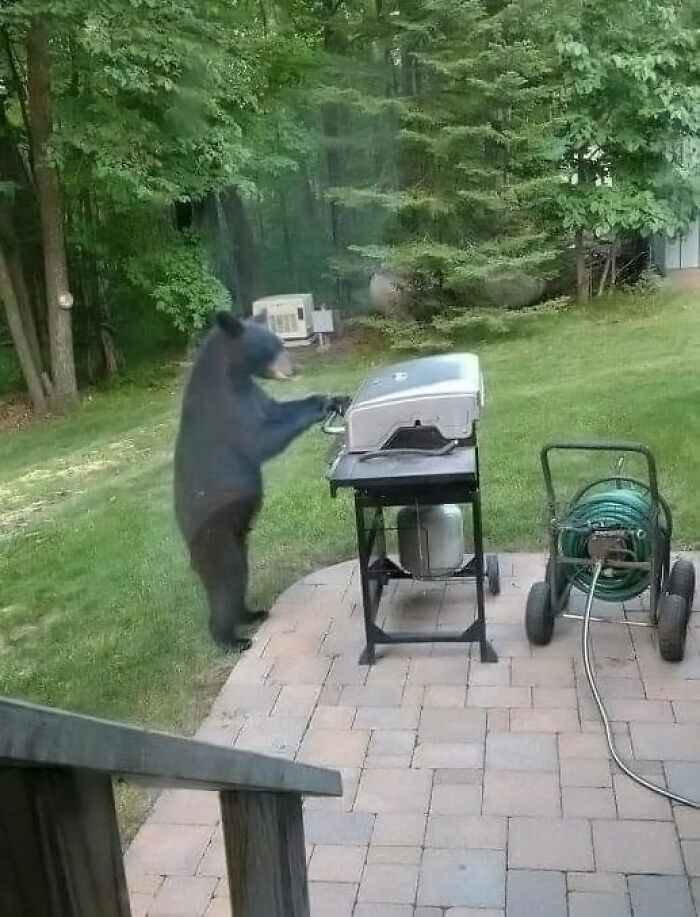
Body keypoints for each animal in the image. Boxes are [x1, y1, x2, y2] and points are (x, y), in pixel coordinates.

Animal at [174, 310, 334, 650]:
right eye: (274, 346)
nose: (296, 367)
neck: (231, 376)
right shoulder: (227, 411)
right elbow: (262, 438)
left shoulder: (253, 394)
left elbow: (278, 409)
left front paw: (330, 399)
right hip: (217, 536)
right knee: (226, 581)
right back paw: (230, 638)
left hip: (238, 539)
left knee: (240, 579)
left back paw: (251, 613)